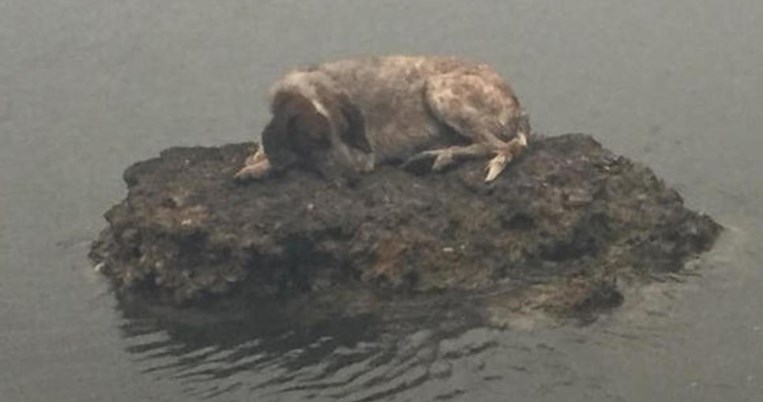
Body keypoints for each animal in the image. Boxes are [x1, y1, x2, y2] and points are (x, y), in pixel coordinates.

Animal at [234, 55, 532, 182]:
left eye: (345, 131)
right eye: (315, 139)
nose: (354, 175)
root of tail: (520, 111)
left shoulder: (363, 154)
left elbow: (291, 160)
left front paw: (258, 167)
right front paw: (257, 157)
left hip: (438, 89)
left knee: (498, 145)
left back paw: (438, 156)